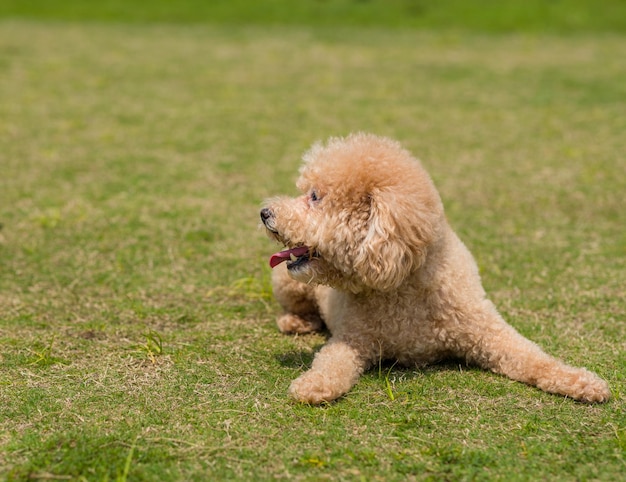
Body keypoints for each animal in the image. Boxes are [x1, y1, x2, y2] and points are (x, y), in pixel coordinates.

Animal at [258, 132, 608, 402]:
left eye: (315, 197)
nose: (264, 212)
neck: (405, 283)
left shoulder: (486, 331)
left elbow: (533, 357)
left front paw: (582, 382)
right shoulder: (353, 338)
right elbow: (330, 363)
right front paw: (312, 384)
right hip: (287, 282)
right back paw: (295, 321)